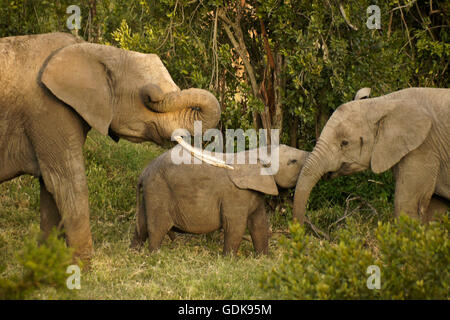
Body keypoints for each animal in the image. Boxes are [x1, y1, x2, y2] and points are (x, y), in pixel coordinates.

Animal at [0, 33, 221, 262]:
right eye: (148, 99)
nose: (153, 93)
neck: (98, 51)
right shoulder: (48, 110)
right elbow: (67, 183)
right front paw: (83, 266)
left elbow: (50, 187)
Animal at [131, 145, 310, 255]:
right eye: (292, 161)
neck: (260, 151)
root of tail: (143, 172)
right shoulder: (236, 194)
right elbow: (236, 225)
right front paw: (229, 260)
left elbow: (259, 224)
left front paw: (263, 258)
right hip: (158, 190)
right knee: (157, 228)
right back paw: (155, 256)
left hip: (151, 192)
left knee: (142, 226)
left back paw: (135, 252)